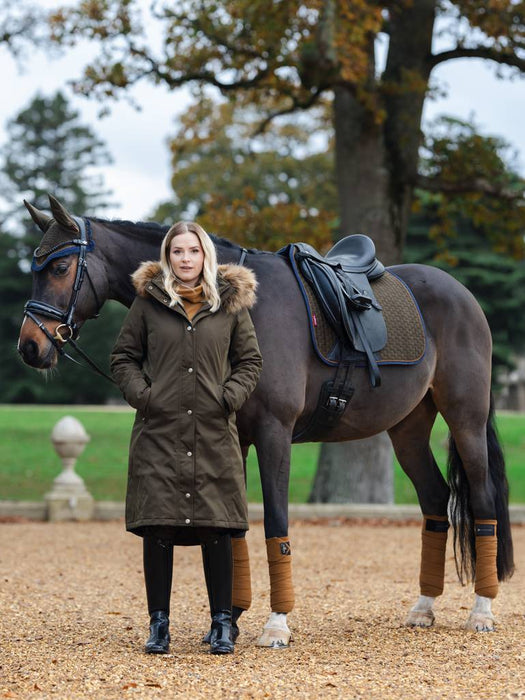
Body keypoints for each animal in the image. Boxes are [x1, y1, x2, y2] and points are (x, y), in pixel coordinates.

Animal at [17, 196, 512, 644]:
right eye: (36, 269)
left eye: (59, 269)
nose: (29, 347)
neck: (240, 306)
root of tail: (462, 294)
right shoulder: (233, 438)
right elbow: (233, 529)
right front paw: (229, 621)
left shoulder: (275, 434)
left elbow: (276, 523)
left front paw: (276, 624)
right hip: (407, 430)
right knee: (436, 500)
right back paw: (424, 607)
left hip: (465, 420)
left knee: (482, 499)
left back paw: (481, 611)